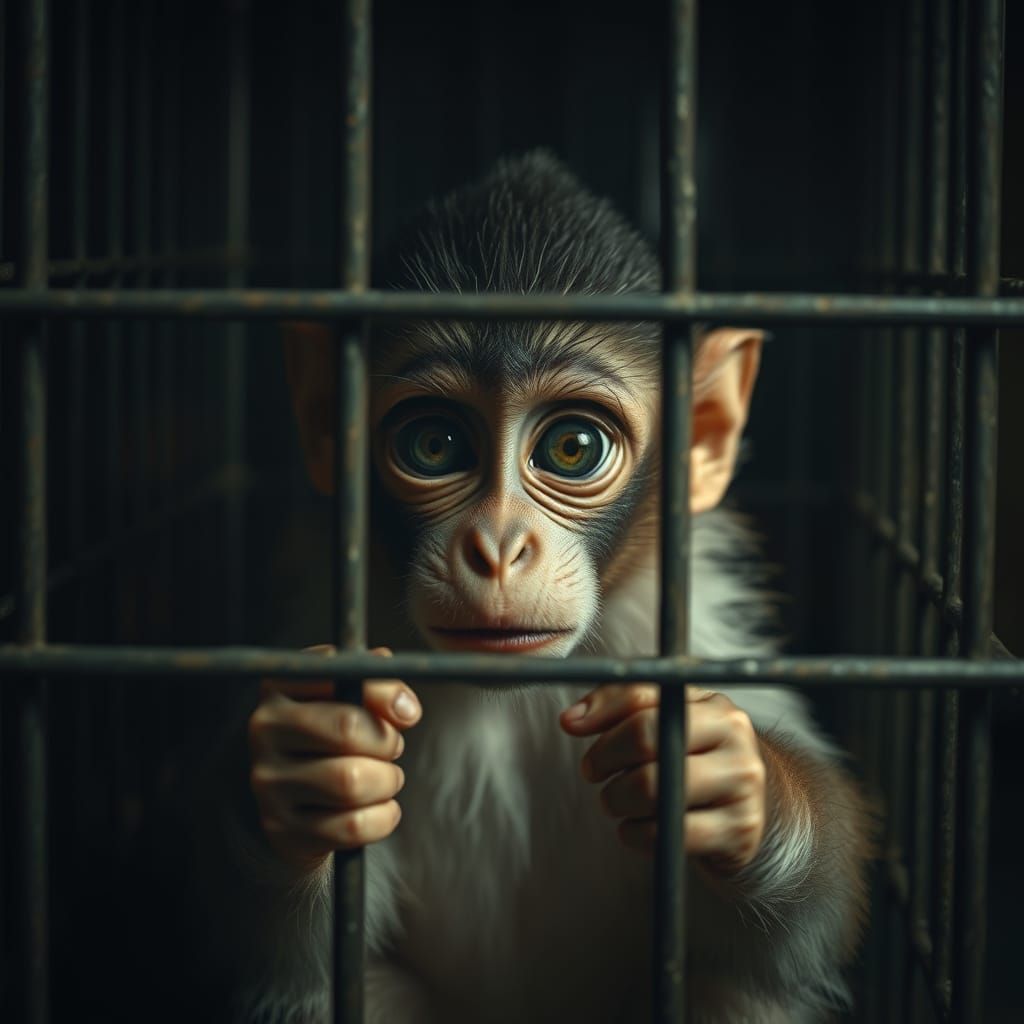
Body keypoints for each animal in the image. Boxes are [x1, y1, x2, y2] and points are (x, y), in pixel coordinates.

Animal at [205, 151, 871, 1024]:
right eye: (433, 443)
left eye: (572, 446)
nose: (496, 549)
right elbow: (289, 962)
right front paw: (294, 782)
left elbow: (777, 955)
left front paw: (734, 785)